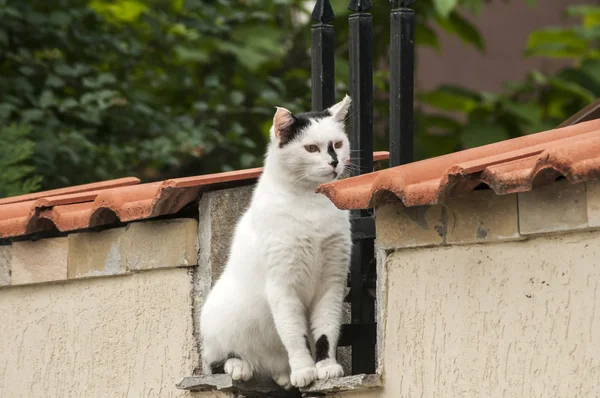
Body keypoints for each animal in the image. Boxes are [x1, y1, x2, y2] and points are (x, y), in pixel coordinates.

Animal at [199, 95, 354, 388]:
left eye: (338, 144)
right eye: (311, 148)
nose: (334, 162)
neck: (312, 202)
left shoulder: (332, 281)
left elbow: (325, 330)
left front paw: (326, 366)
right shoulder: (282, 286)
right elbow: (295, 335)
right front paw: (304, 370)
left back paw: (283, 375)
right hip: (218, 318)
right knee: (215, 361)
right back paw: (240, 366)